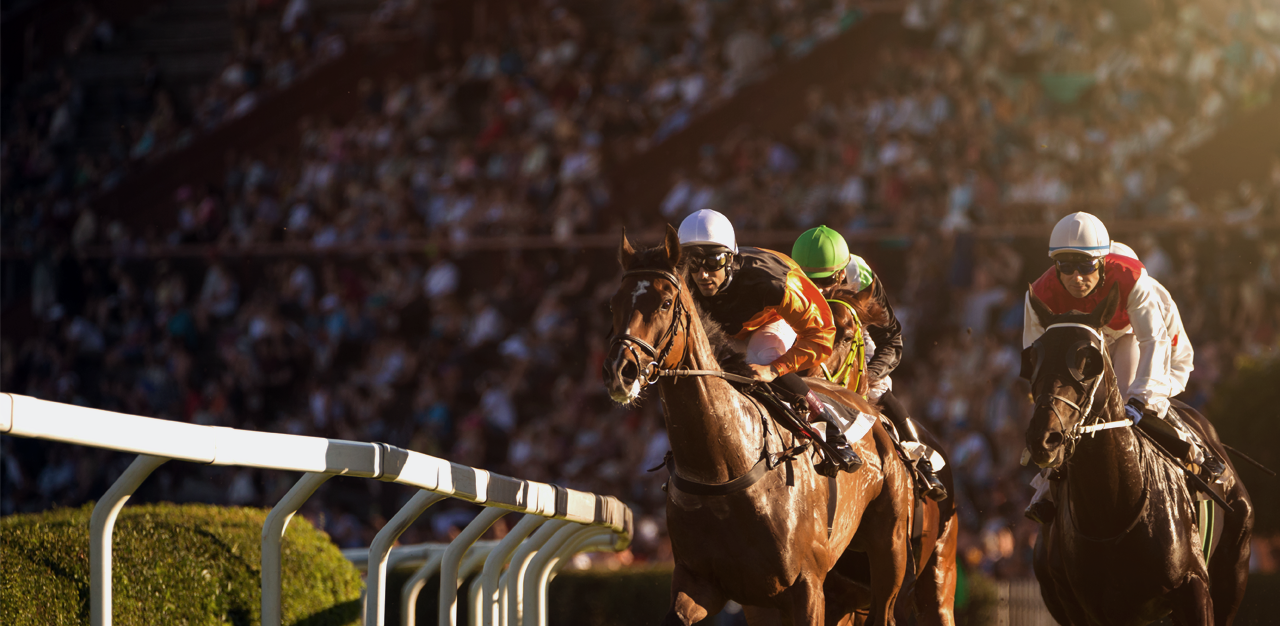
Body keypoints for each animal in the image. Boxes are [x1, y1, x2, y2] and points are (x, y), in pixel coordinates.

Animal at [604, 224, 916, 624]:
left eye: (664, 302)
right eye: (614, 303)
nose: (620, 371)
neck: (724, 466)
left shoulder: (806, 587)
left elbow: (816, 328)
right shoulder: (701, 583)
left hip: (889, 550)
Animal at [1024, 284, 1254, 624]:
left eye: (1088, 359)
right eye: (1034, 357)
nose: (1044, 437)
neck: (1113, 509)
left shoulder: (1196, 588)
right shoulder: (1091, 608)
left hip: (1235, 563)